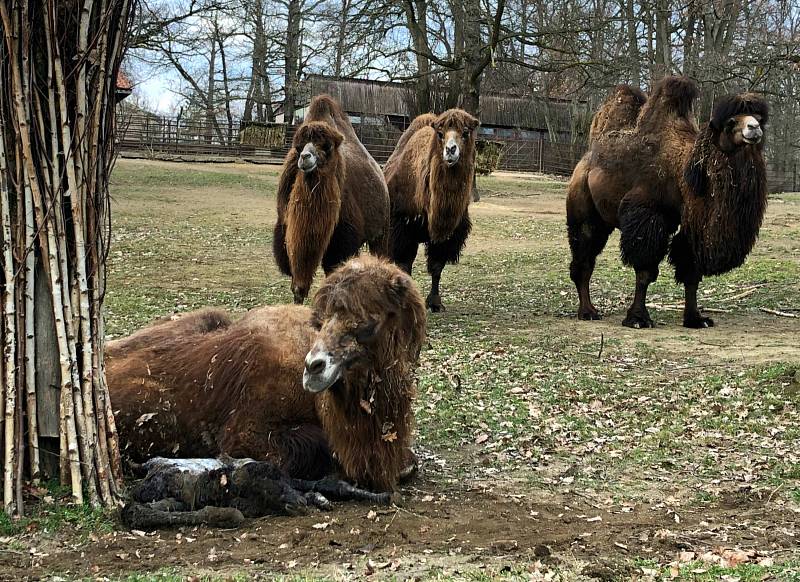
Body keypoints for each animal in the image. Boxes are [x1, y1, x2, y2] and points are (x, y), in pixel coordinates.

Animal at [272, 94, 390, 306]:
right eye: (299, 147)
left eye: (326, 147)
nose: (305, 157)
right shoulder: (288, 234)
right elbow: (298, 285)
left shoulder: (340, 241)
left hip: (381, 230)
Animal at [384, 108, 478, 312]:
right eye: (440, 134)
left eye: (466, 132)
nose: (450, 150)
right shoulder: (402, 227)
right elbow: (404, 264)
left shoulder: (449, 234)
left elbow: (436, 266)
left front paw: (435, 303)